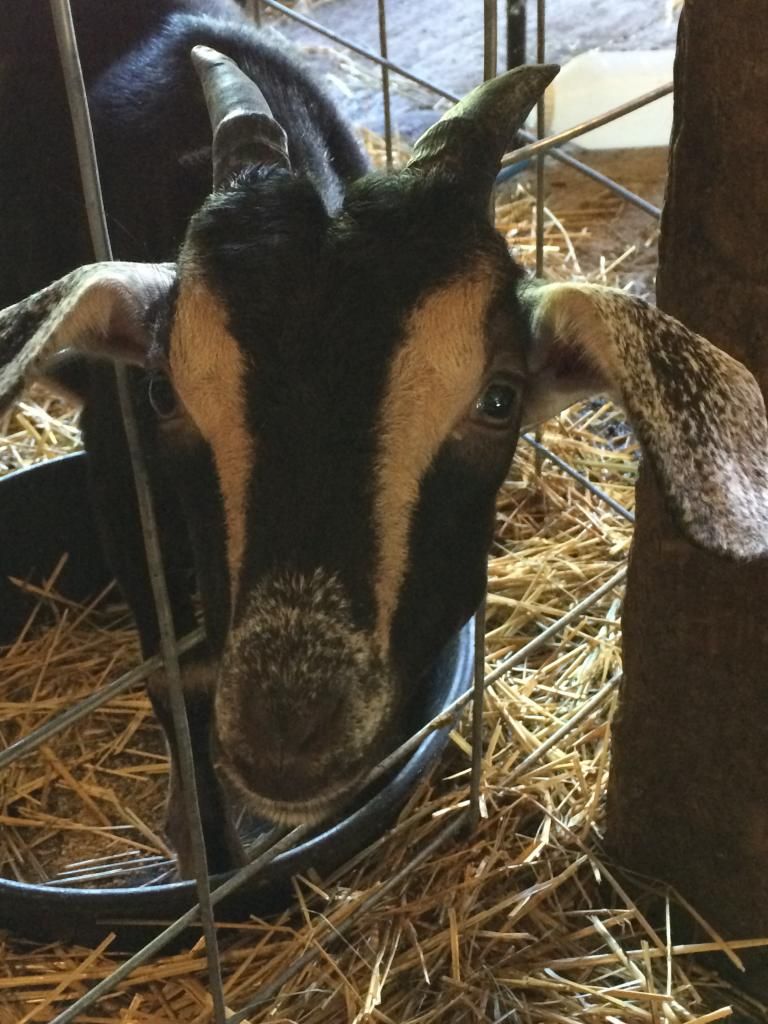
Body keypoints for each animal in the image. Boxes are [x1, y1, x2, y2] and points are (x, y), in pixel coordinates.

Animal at [2, 1, 767, 878]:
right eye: (163, 392)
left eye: (498, 399)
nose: (288, 732)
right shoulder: (116, 458)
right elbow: (176, 673)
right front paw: (212, 858)